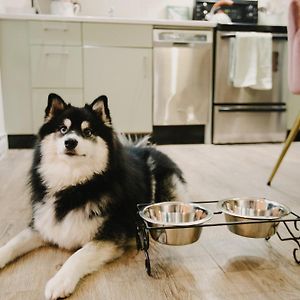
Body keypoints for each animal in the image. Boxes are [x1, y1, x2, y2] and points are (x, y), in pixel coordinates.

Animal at [0, 94, 188, 300]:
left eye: (88, 131)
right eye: (63, 129)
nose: (70, 142)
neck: (73, 186)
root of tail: (148, 148)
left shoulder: (109, 237)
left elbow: (78, 256)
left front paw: (59, 281)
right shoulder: (43, 224)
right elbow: (12, 243)